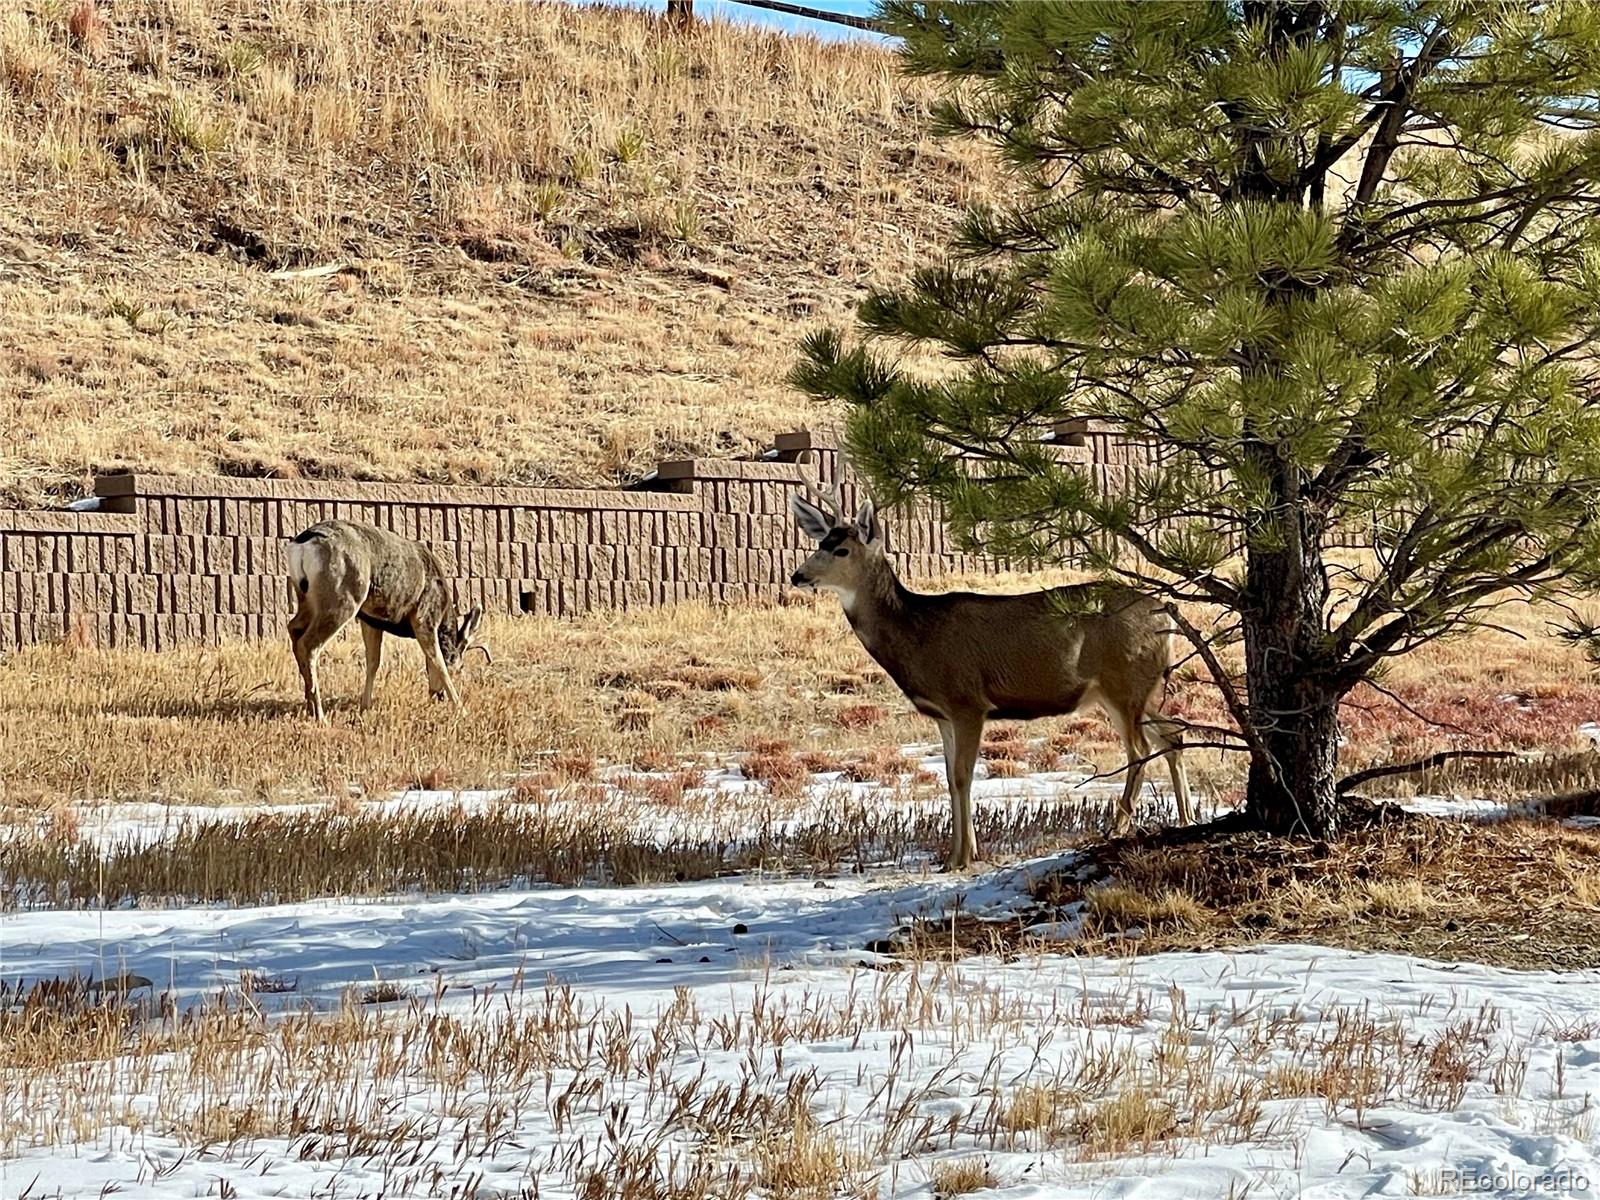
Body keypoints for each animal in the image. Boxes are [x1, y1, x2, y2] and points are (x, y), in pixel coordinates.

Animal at [286, 518, 486, 723]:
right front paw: (462, 710)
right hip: (342, 598)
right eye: (460, 668)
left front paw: (365, 707)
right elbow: (438, 661)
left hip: (307, 598)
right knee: (308, 645)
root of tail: (304, 541)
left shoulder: (372, 620)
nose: (438, 696)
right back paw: (320, 715)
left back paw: (309, 705)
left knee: (293, 628)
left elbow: (373, 662)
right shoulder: (424, 617)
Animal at [787, 464, 1190, 870]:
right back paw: (1186, 819)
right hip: (1136, 688)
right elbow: (950, 777)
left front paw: (963, 858)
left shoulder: (967, 700)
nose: (797, 575)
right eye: (819, 543)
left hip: (1124, 680)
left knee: (1140, 749)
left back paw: (1118, 826)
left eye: (841, 549)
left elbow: (963, 776)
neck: (916, 635)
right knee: (1173, 735)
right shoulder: (943, 714)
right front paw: (956, 854)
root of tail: (1165, 613)